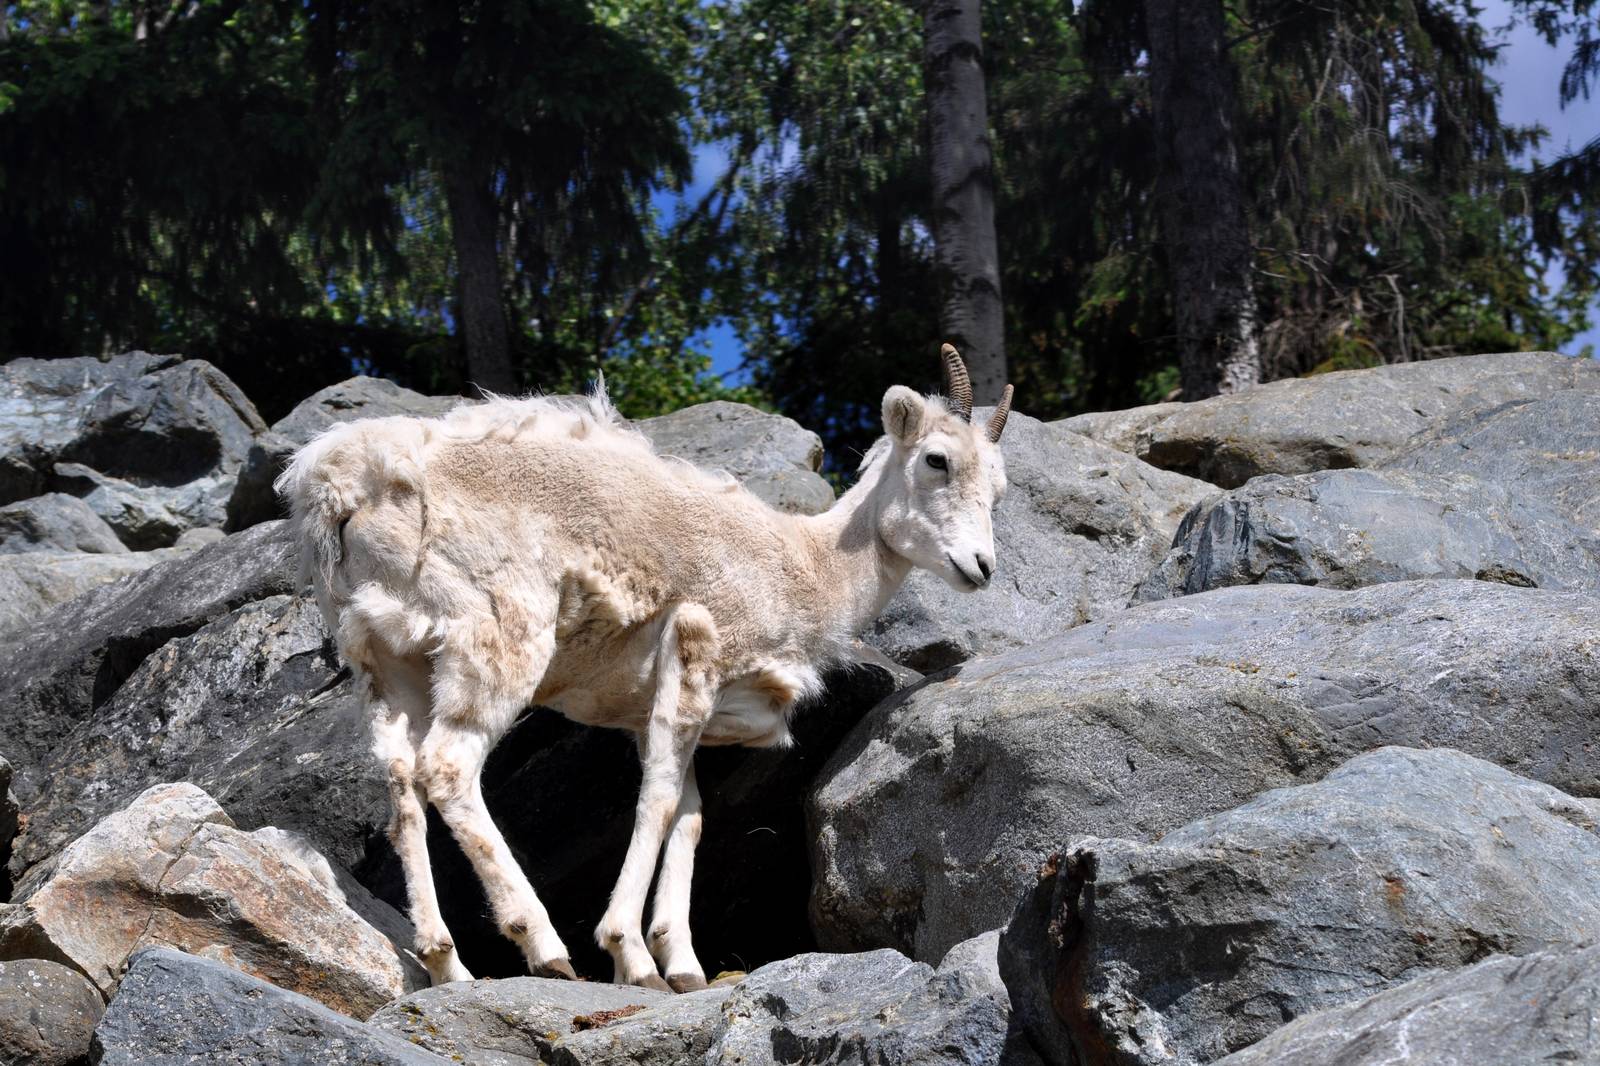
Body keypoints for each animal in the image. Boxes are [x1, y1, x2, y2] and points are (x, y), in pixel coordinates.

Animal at [275, 345, 1014, 991]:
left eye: (998, 484)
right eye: (938, 460)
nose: (981, 568)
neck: (807, 569)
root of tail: (341, 481)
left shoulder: (660, 712)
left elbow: (687, 816)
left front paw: (679, 964)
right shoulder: (695, 654)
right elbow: (656, 803)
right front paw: (629, 953)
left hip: (386, 657)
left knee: (402, 782)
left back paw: (445, 963)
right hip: (496, 639)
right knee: (449, 768)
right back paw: (545, 948)